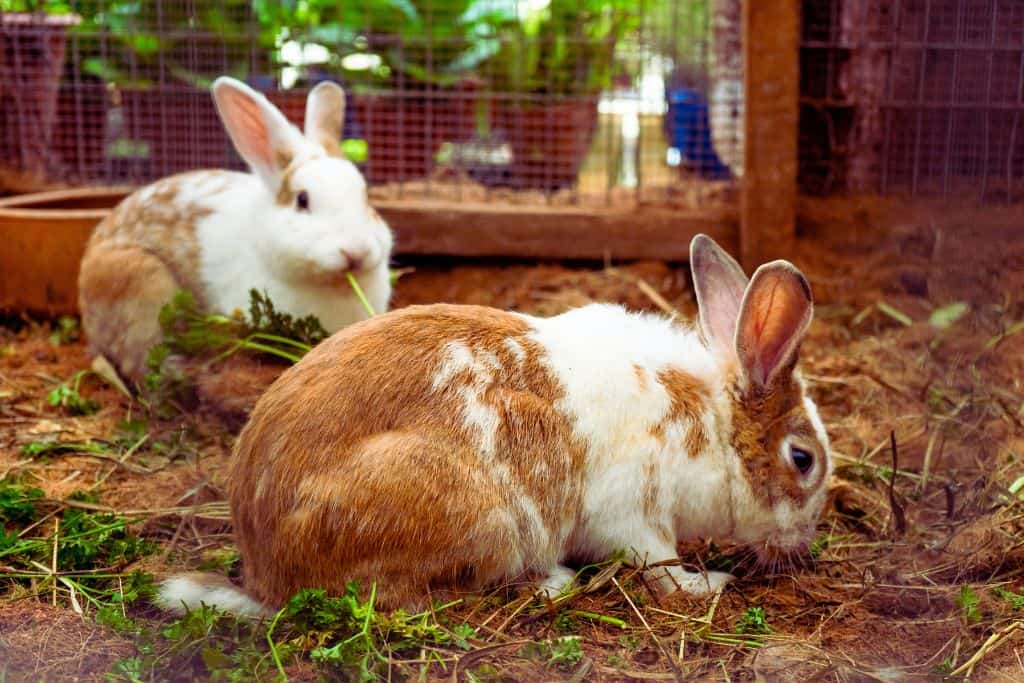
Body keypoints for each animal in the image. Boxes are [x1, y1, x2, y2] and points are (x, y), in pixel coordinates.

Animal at [157, 234, 832, 616]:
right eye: (803, 459)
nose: (803, 543)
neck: (710, 423)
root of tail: (267, 576)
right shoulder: (635, 516)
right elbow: (659, 565)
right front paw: (707, 584)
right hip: (481, 516)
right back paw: (552, 583)